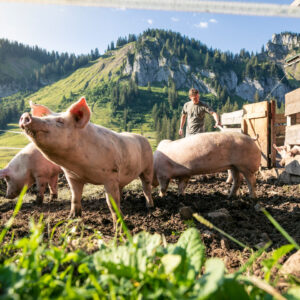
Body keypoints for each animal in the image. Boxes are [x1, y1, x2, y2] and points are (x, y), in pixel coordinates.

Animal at [18, 97, 154, 226]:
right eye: (44, 117)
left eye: (60, 121)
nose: (26, 115)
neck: (80, 168)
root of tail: (142, 138)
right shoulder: (72, 176)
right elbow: (75, 198)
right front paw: (72, 218)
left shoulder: (110, 174)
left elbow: (111, 202)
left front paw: (119, 225)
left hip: (148, 167)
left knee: (146, 186)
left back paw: (150, 207)